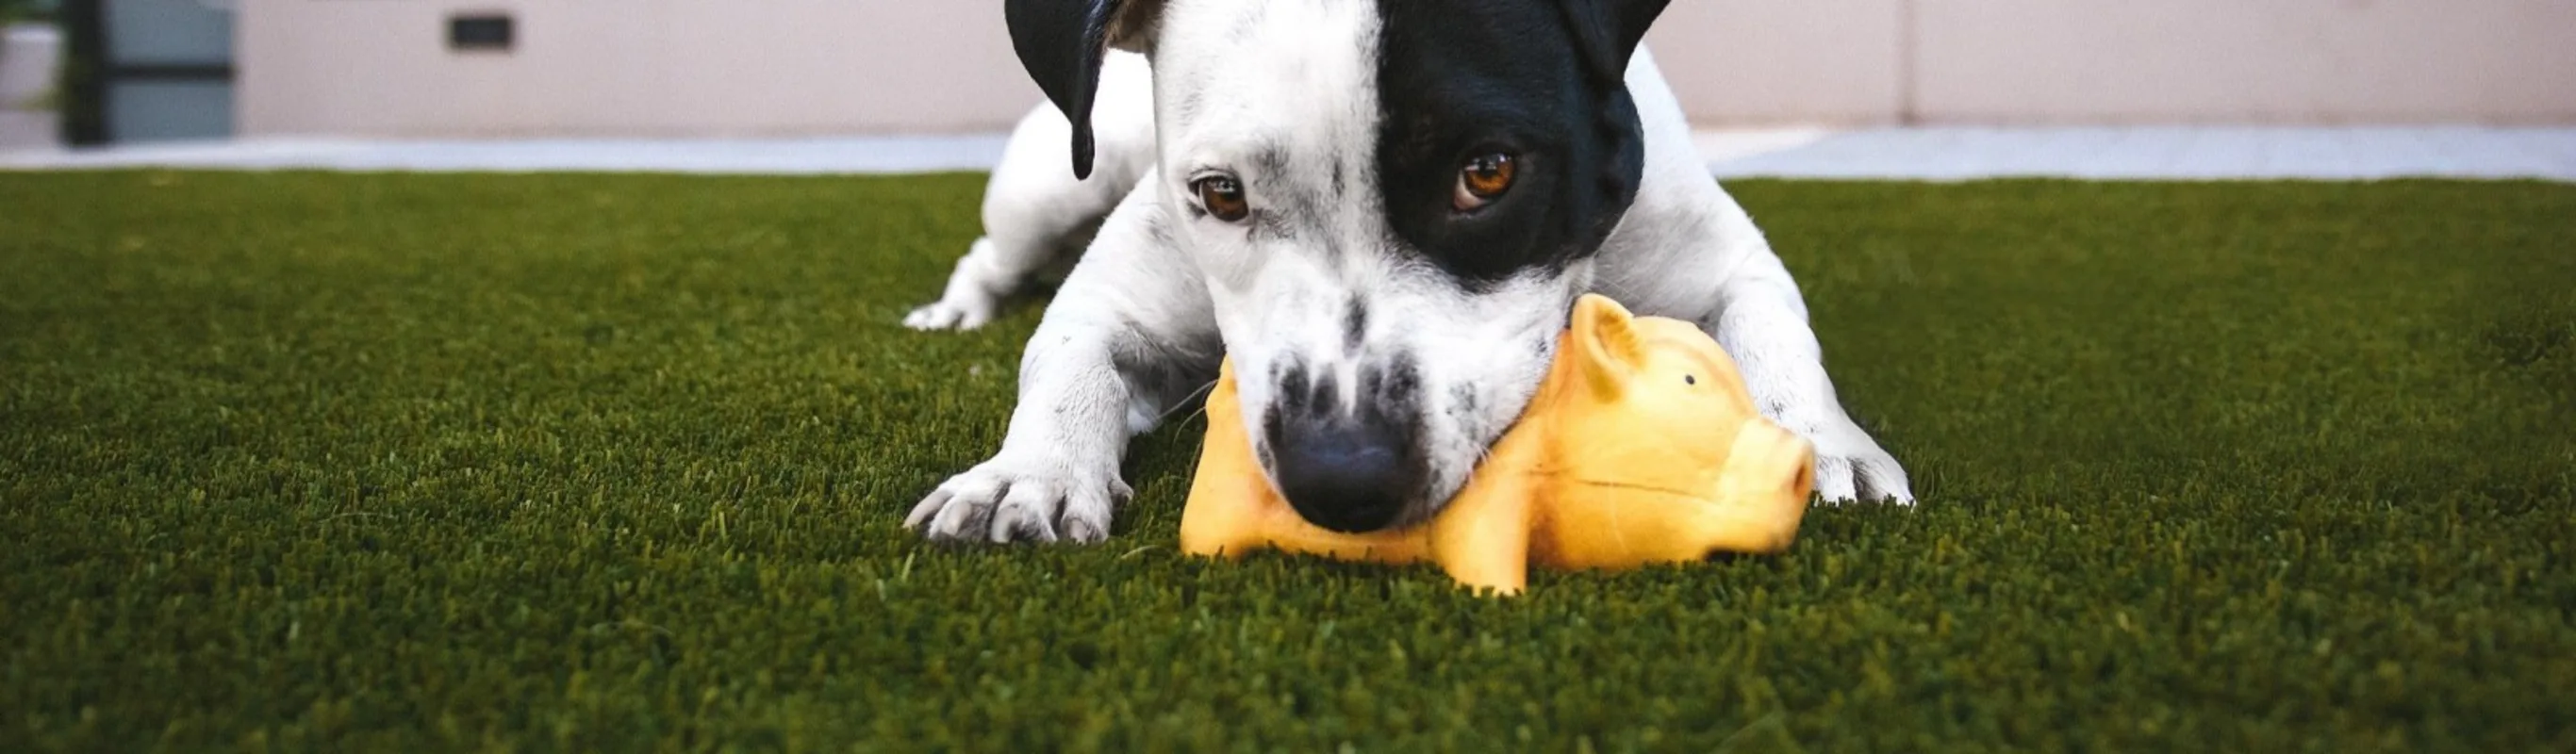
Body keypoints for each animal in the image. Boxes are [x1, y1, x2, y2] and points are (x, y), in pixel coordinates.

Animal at [906, 0, 1916, 540]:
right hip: (1046, 185)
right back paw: (955, 312)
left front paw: (1819, 441)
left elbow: (1775, 336)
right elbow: (1068, 363)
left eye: (1489, 172)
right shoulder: (1113, 298)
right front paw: (1026, 471)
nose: (1340, 476)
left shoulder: (1725, 259)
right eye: (1222, 195)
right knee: (993, 253)